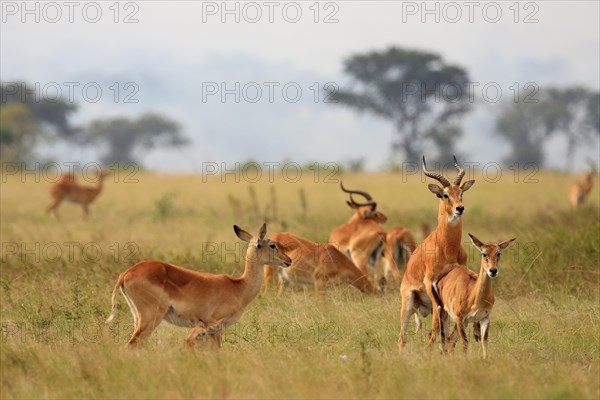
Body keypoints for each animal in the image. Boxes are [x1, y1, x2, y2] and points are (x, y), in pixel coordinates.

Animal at [106, 223, 292, 348]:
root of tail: (126, 273)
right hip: (151, 317)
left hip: (137, 317)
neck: (239, 287)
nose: (289, 260)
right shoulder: (215, 327)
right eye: (273, 245)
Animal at [396, 155, 476, 352]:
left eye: (461, 193)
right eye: (445, 194)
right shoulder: (429, 281)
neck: (447, 247)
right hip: (408, 304)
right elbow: (435, 324)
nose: (460, 208)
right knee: (401, 339)